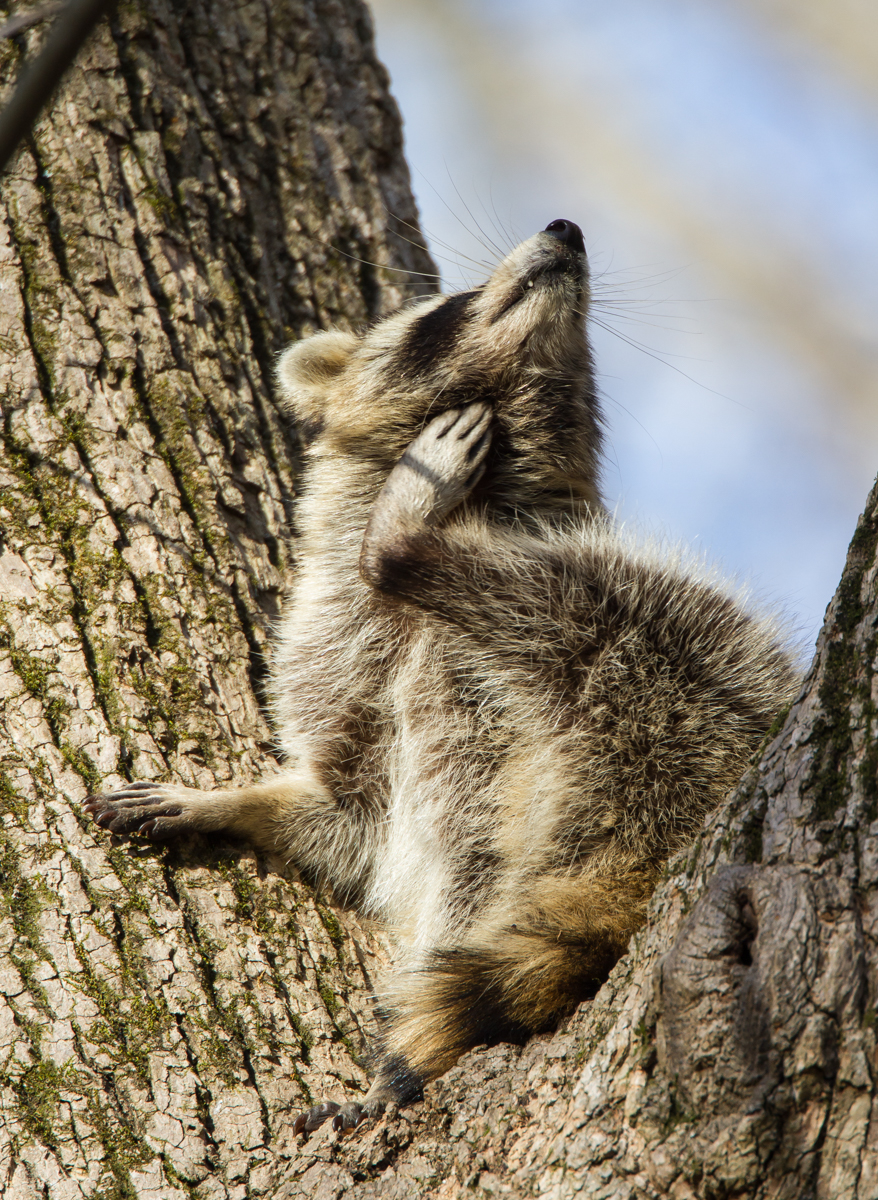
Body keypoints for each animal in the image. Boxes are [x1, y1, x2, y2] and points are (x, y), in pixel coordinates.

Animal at [85, 219, 798, 1134]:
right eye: (447, 309)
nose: (564, 230)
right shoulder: (336, 645)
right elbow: (351, 814)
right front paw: (234, 801)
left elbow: (463, 837)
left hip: (678, 699)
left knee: (578, 625)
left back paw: (411, 550)